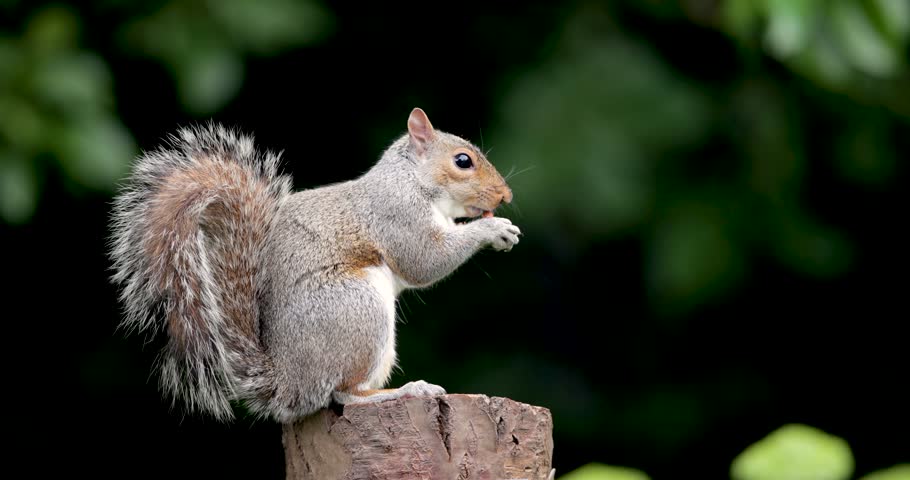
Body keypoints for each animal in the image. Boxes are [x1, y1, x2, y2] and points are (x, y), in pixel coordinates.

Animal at [108, 108, 520, 423]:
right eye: (463, 161)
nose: (506, 195)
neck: (411, 180)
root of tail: (290, 384)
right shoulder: (396, 215)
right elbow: (424, 260)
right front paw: (493, 228)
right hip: (356, 308)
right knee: (343, 393)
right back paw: (404, 391)